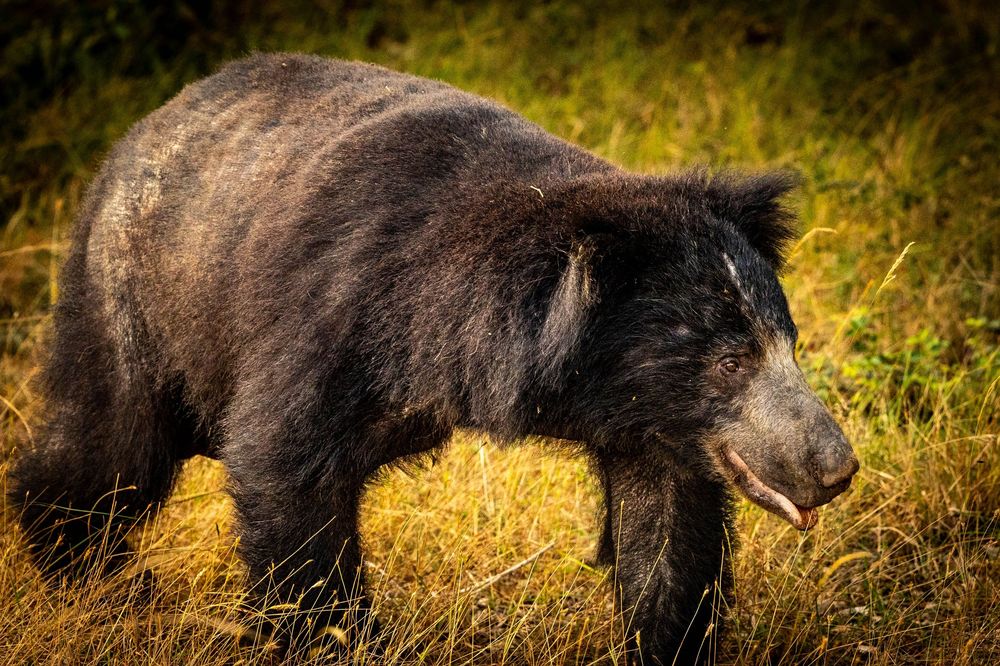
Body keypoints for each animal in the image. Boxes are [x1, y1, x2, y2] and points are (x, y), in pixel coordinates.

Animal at [10, 53, 859, 664]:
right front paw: (339, 641)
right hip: (142, 297)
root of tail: (141, 132)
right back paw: (96, 577)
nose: (836, 467)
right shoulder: (327, 320)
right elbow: (287, 474)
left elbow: (666, 539)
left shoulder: (651, 426)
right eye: (730, 361)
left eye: (785, 343)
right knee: (110, 446)